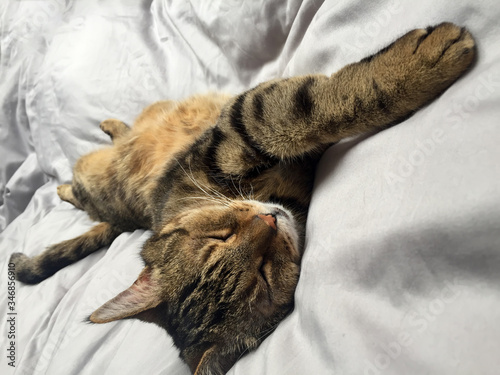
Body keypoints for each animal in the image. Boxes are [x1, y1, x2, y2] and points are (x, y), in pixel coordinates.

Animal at [8, 24, 476, 375]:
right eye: (262, 278)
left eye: (218, 237)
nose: (268, 221)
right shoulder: (235, 134)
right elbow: (298, 110)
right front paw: (418, 66)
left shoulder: (222, 143)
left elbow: (292, 114)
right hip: (95, 179)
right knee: (81, 189)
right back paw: (67, 185)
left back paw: (110, 127)